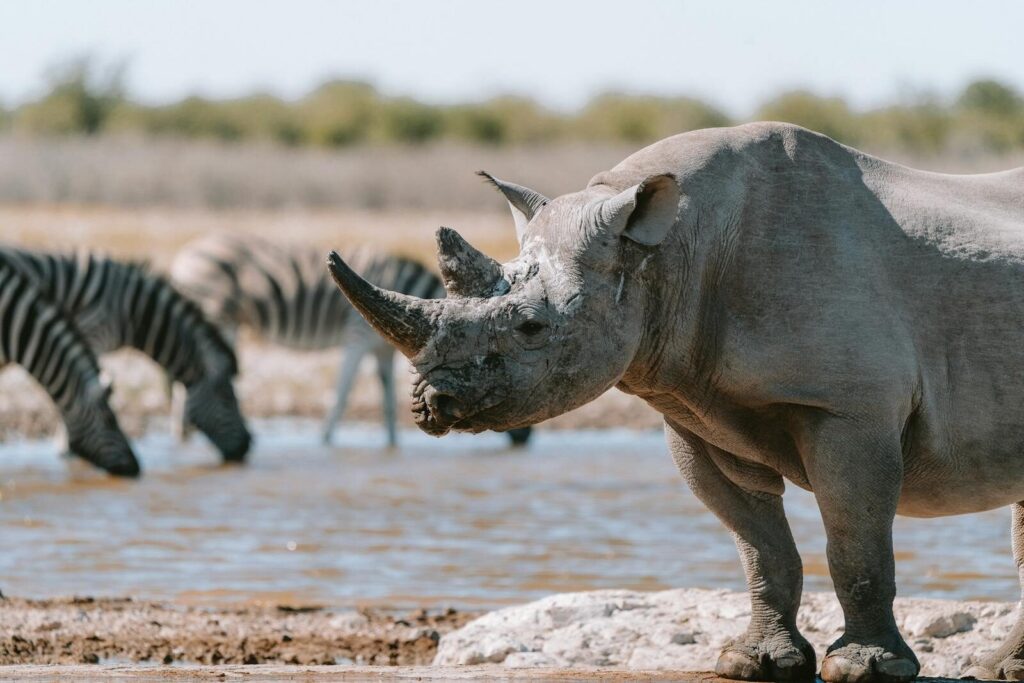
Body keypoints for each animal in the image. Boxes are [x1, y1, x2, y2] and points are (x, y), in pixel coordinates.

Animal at [170, 233, 531, 447]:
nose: (526, 439)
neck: (405, 286)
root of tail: (186, 254)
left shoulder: (384, 349)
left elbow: (387, 398)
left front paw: (392, 445)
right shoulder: (358, 336)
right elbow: (343, 392)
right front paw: (325, 438)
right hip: (216, 314)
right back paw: (181, 435)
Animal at [328, 122, 1024, 682]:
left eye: (530, 327)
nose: (430, 404)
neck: (665, 256)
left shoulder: (848, 409)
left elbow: (855, 540)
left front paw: (864, 670)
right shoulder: (695, 411)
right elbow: (760, 545)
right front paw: (753, 664)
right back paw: (1005, 669)